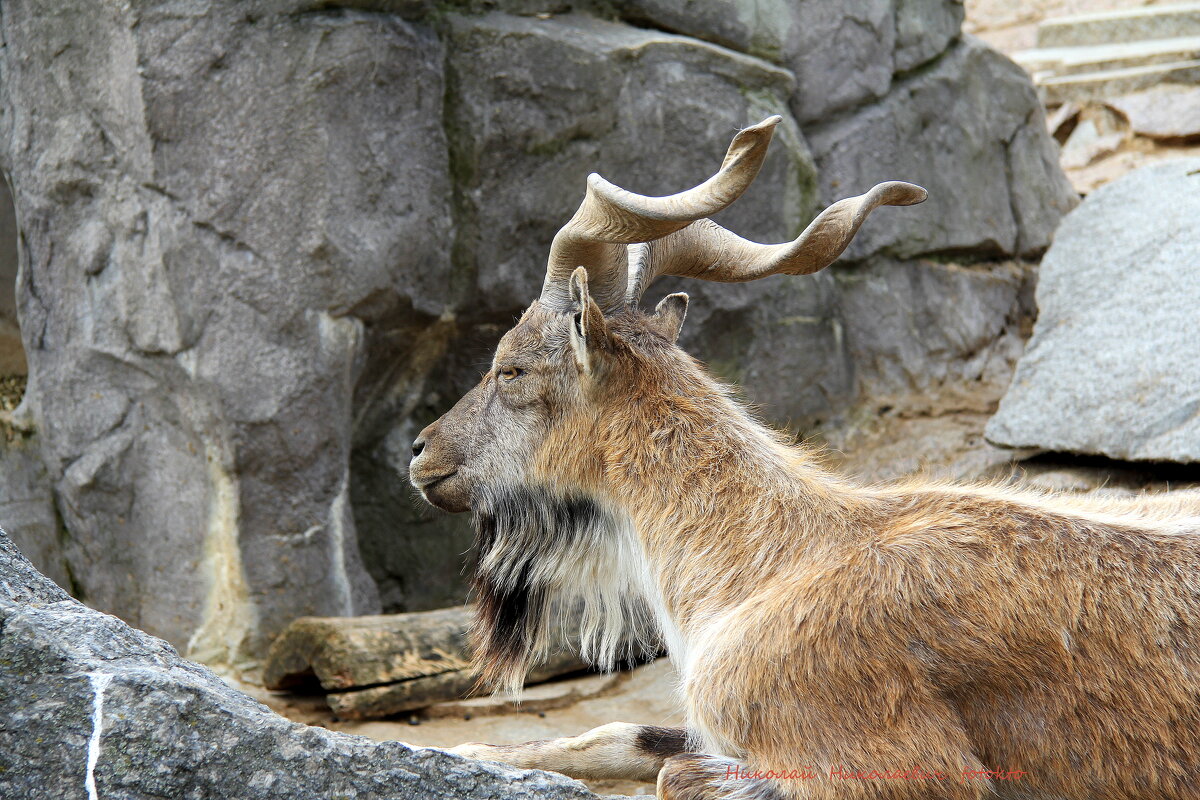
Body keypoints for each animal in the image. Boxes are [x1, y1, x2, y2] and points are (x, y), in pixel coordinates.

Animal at [410, 115, 1200, 796]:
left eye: (511, 369)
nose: (420, 453)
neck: (764, 563)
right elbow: (629, 736)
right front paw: (472, 750)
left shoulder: (891, 765)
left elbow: (674, 774)